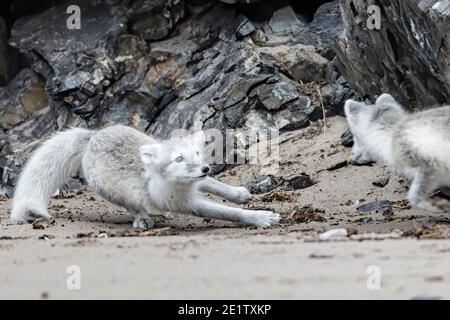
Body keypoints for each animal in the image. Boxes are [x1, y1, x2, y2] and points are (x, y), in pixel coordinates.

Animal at [10, 125, 280, 228]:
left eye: (195, 153)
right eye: (178, 160)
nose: (204, 169)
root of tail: (93, 136)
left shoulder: (198, 182)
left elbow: (216, 186)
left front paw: (239, 194)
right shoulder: (187, 203)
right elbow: (226, 213)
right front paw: (260, 218)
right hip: (111, 193)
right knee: (132, 206)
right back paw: (143, 219)